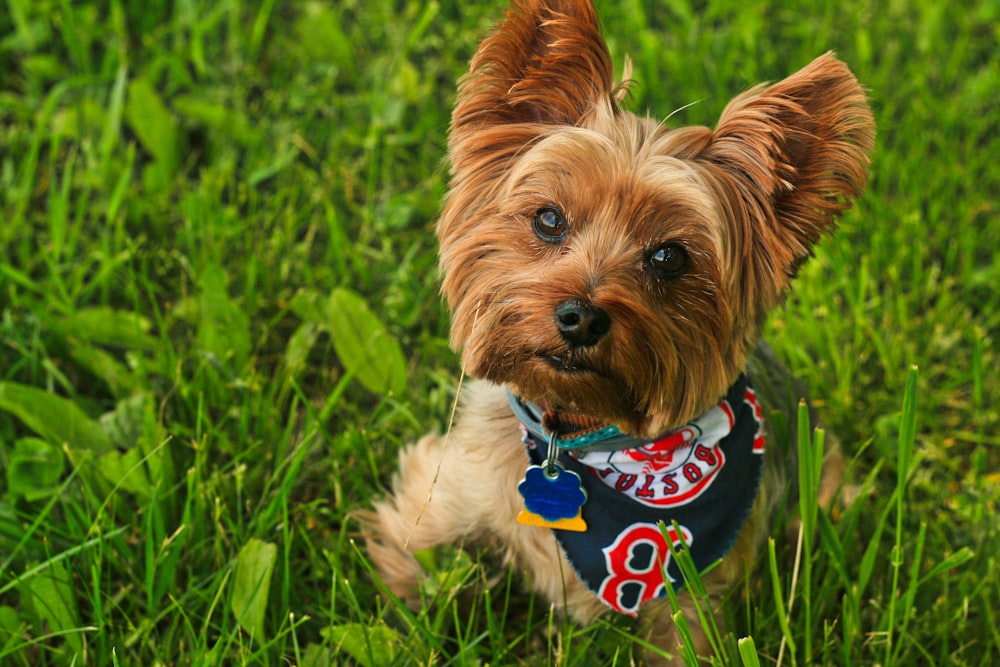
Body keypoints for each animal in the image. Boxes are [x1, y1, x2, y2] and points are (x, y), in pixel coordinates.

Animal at [362, 1, 876, 664]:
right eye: (548, 219)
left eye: (669, 257)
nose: (580, 317)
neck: (576, 439)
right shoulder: (443, 491)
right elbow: (410, 567)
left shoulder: (693, 602)